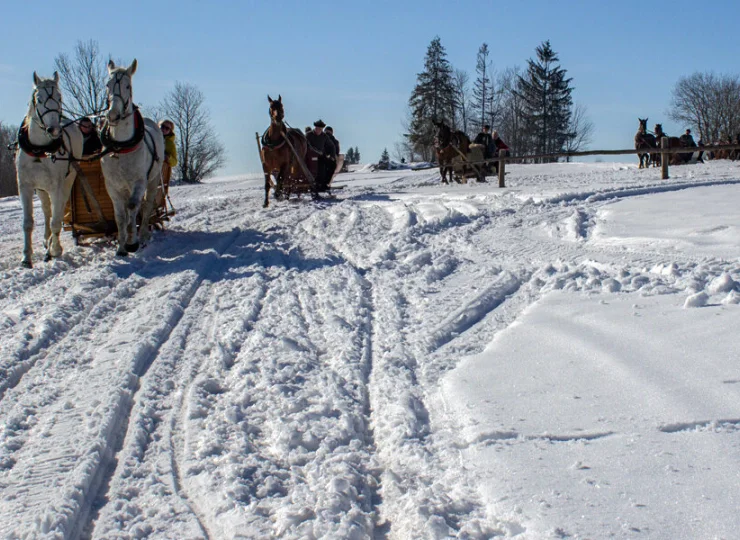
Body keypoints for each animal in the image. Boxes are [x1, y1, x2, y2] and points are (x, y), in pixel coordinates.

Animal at [15, 70, 83, 268]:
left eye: (59, 98)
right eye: (38, 98)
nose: (54, 129)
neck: (39, 150)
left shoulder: (56, 186)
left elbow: (56, 220)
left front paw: (54, 250)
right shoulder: (25, 186)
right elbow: (28, 222)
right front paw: (26, 257)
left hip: (67, 181)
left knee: (56, 212)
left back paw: (52, 245)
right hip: (41, 188)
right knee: (46, 209)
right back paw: (47, 240)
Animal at [99, 59, 163, 255]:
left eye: (128, 86)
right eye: (107, 85)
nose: (113, 114)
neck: (120, 148)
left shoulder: (139, 181)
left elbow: (134, 206)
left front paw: (132, 242)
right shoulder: (112, 186)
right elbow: (120, 216)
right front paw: (121, 247)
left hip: (153, 179)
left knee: (147, 205)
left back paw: (142, 235)